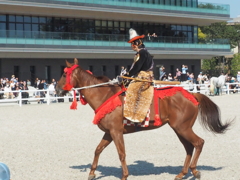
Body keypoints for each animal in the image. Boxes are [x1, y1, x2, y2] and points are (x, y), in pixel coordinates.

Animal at [55, 58, 232, 180]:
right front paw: (92, 172)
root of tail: (192, 94)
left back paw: (194, 170)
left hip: (183, 128)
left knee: (198, 143)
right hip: (179, 128)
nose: (57, 89)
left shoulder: (116, 132)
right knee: (189, 147)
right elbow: (98, 149)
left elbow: (121, 153)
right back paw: (182, 173)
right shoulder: (109, 132)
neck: (105, 95)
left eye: (64, 73)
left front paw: (124, 175)